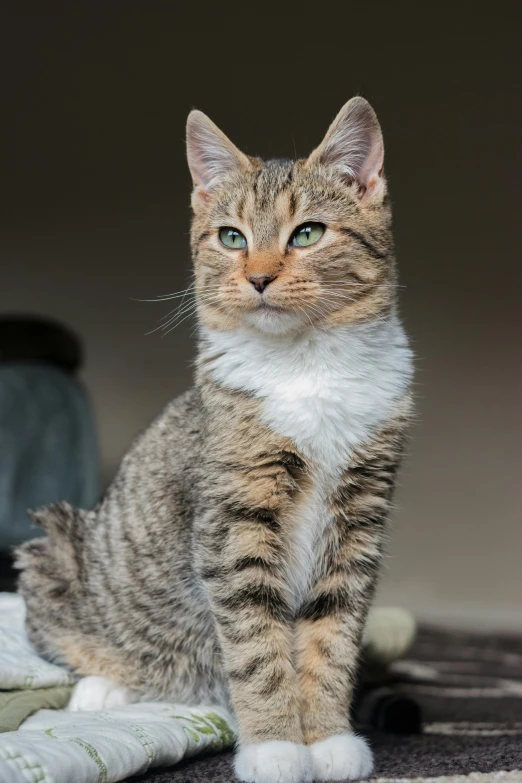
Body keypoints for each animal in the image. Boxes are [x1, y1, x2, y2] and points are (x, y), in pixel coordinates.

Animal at [16, 99, 412, 783]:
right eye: (232, 237)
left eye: (307, 233)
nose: (258, 278)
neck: (307, 366)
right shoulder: (234, 521)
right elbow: (257, 645)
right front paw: (276, 748)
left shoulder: (358, 521)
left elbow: (332, 639)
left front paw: (328, 739)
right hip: (55, 552)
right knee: (72, 638)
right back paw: (105, 687)